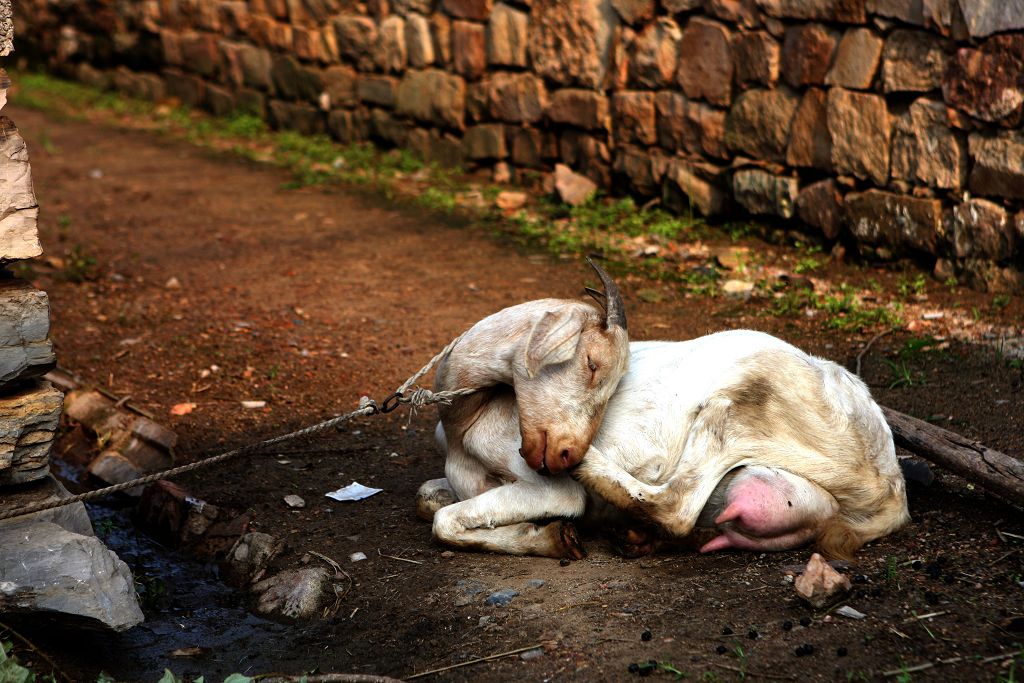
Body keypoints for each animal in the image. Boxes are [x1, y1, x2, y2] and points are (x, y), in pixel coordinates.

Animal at [415, 270, 913, 557]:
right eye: (592, 364)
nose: (562, 454)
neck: (465, 421)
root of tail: (891, 485)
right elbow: (427, 499)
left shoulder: (547, 487)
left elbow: (444, 521)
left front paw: (552, 536)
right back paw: (639, 536)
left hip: (741, 400)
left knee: (676, 504)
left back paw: (598, 475)